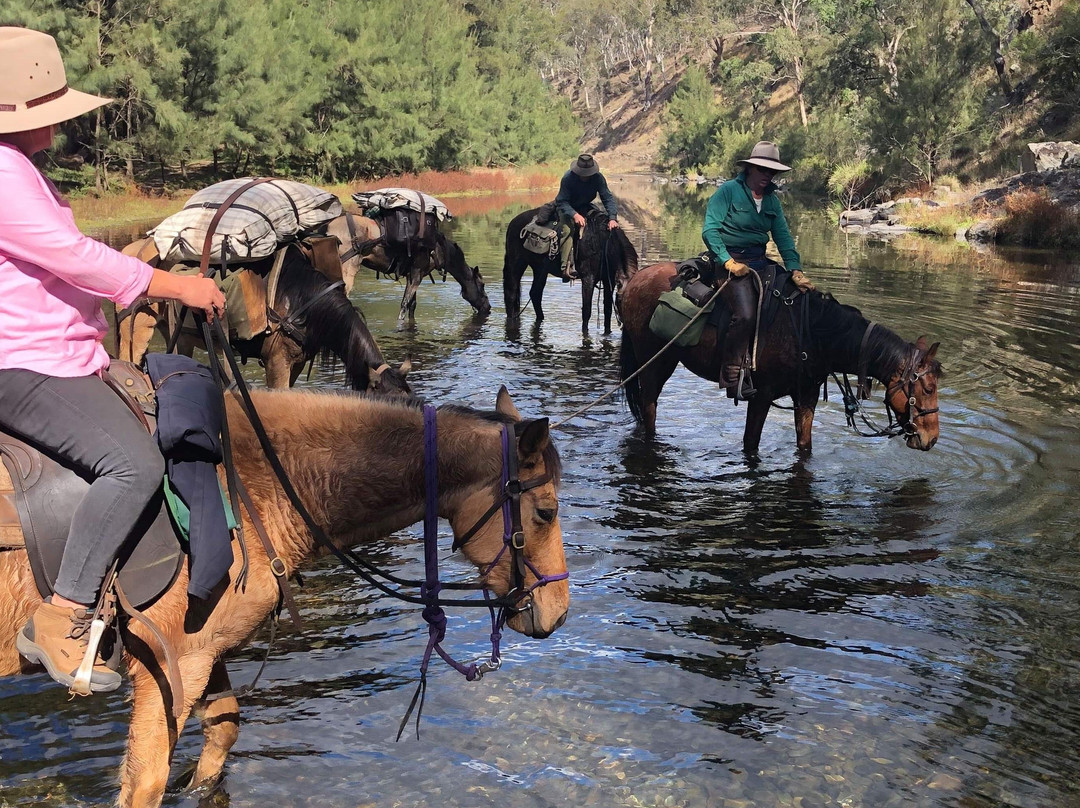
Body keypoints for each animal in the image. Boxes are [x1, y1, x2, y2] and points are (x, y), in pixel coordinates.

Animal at [0, 388, 574, 803]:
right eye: (545, 511)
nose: (558, 613)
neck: (250, 486)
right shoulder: (171, 665)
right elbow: (146, 781)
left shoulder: (203, 651)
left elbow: (223, 732)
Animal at [319, 216, 490, 330]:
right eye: (482, 285)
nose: (488, 307)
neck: (441, 251)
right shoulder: (416, 275)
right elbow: (404, 305)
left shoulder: (412, 275)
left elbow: (412, 306)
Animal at [501, 209, 635, 337]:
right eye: (622, 302)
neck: (603, 243)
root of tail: (513, 222)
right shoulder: (588, 279)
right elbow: (586, 311)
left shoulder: (609, 281)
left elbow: (607, 310)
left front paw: (607, 333)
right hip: (517, 264)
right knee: (511, 294)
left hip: (540, 270)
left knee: (535, 294)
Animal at [622, 263, 941, 453]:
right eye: (927, 389)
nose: (932, 438)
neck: (812, 332)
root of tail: (635, 279)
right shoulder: (761, 397)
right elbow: (751, 445)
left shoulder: (806, 397)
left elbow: (805, 446)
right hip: (654, 363)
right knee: (649, 407)